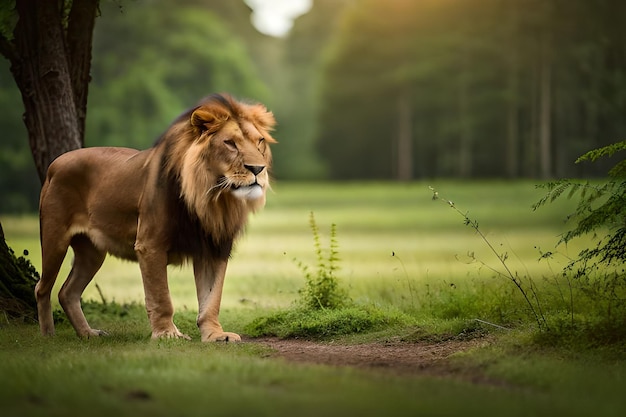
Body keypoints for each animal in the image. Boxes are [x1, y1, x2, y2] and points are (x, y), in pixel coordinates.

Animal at [35, 93, 274, 342]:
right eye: (230, 143)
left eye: (259, 141)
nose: (258, 169)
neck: (211, 197)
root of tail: (54, 164)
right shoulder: (150, 244)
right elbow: (161, 297)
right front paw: (167, 334)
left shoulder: (214, 248)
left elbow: (212, 299)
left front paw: (215, 335)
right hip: (55, 239)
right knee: (42, 288)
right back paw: (48, 335)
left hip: (92, 253)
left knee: (67, 292)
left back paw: (88, 333)